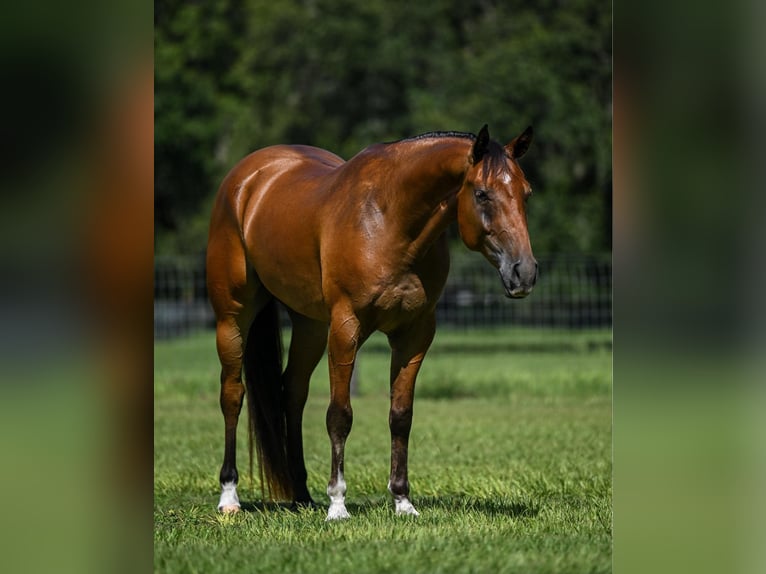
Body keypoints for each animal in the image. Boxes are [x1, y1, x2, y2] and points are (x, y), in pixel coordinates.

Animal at [207, 126, 536, 520]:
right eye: (482, 193)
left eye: (526, 193)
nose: (524, 273)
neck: (390, 222)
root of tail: (246, 179)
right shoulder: (345, 327)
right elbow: (340, 415)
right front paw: (337, 504)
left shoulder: (414, 334)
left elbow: (401, 415)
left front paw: (403, 501)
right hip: (233, 317)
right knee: (232, 394)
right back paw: (229, 496)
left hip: (310, 326)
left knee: (293, 393)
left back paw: (301, 494)